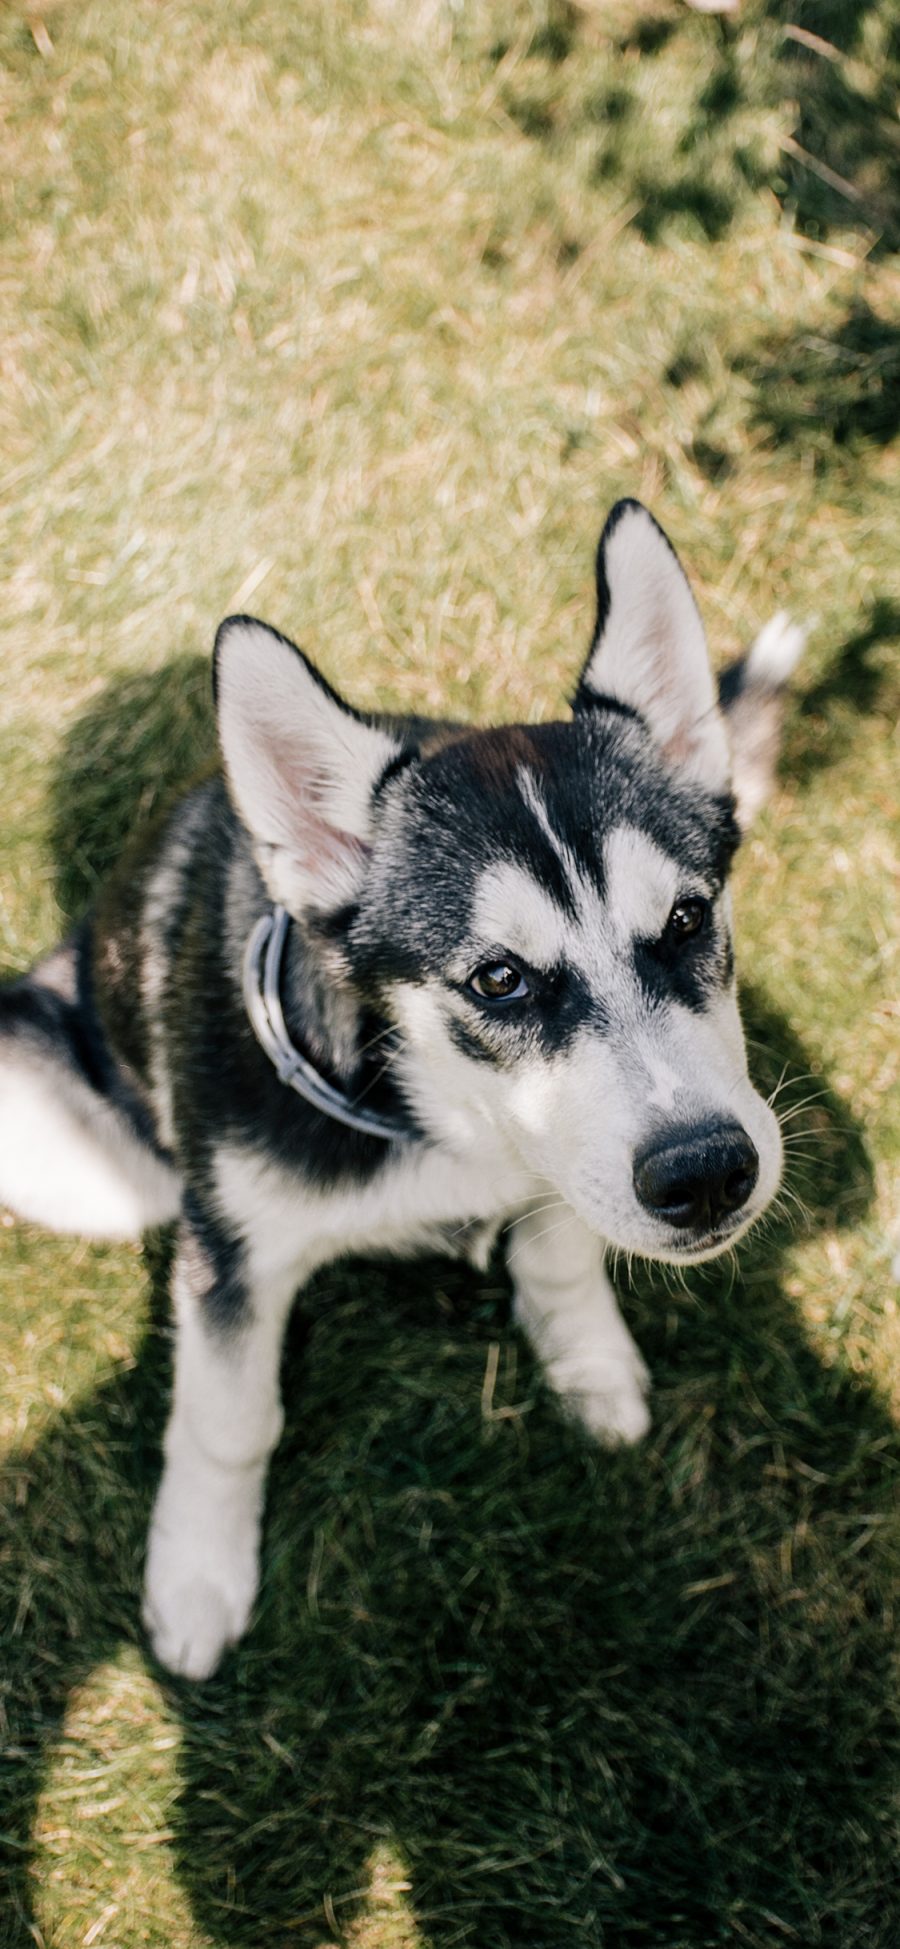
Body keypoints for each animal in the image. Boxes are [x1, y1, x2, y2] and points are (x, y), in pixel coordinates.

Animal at [0, 498, 802, 1676]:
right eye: (498, 978)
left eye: (689, 919)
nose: (707, 1174)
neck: (441, 1118)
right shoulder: (232, 1256)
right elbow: (227, 1421)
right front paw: (198, 1573)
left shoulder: (563, 1161)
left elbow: (559, 1255)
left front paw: (589, 1360)